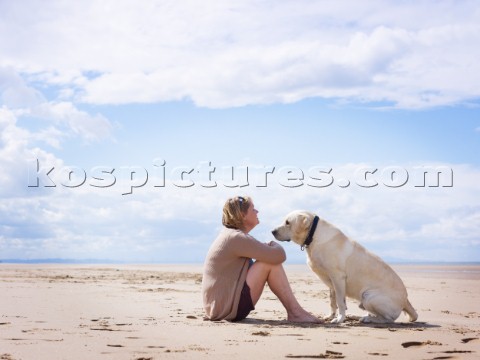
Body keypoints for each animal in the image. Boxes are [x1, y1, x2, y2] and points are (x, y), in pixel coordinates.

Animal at [272, 210, 418, 324]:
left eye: (288, 222)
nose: (272, 231)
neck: (314, 236)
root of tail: (406, 300)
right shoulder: (331, 281)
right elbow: (332, 301)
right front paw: (331, 316)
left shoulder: (337, 277)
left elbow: (340, 302)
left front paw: (339, 319)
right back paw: (357, 316)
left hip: (368, 296)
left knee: (389, 319)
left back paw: (368, 319)